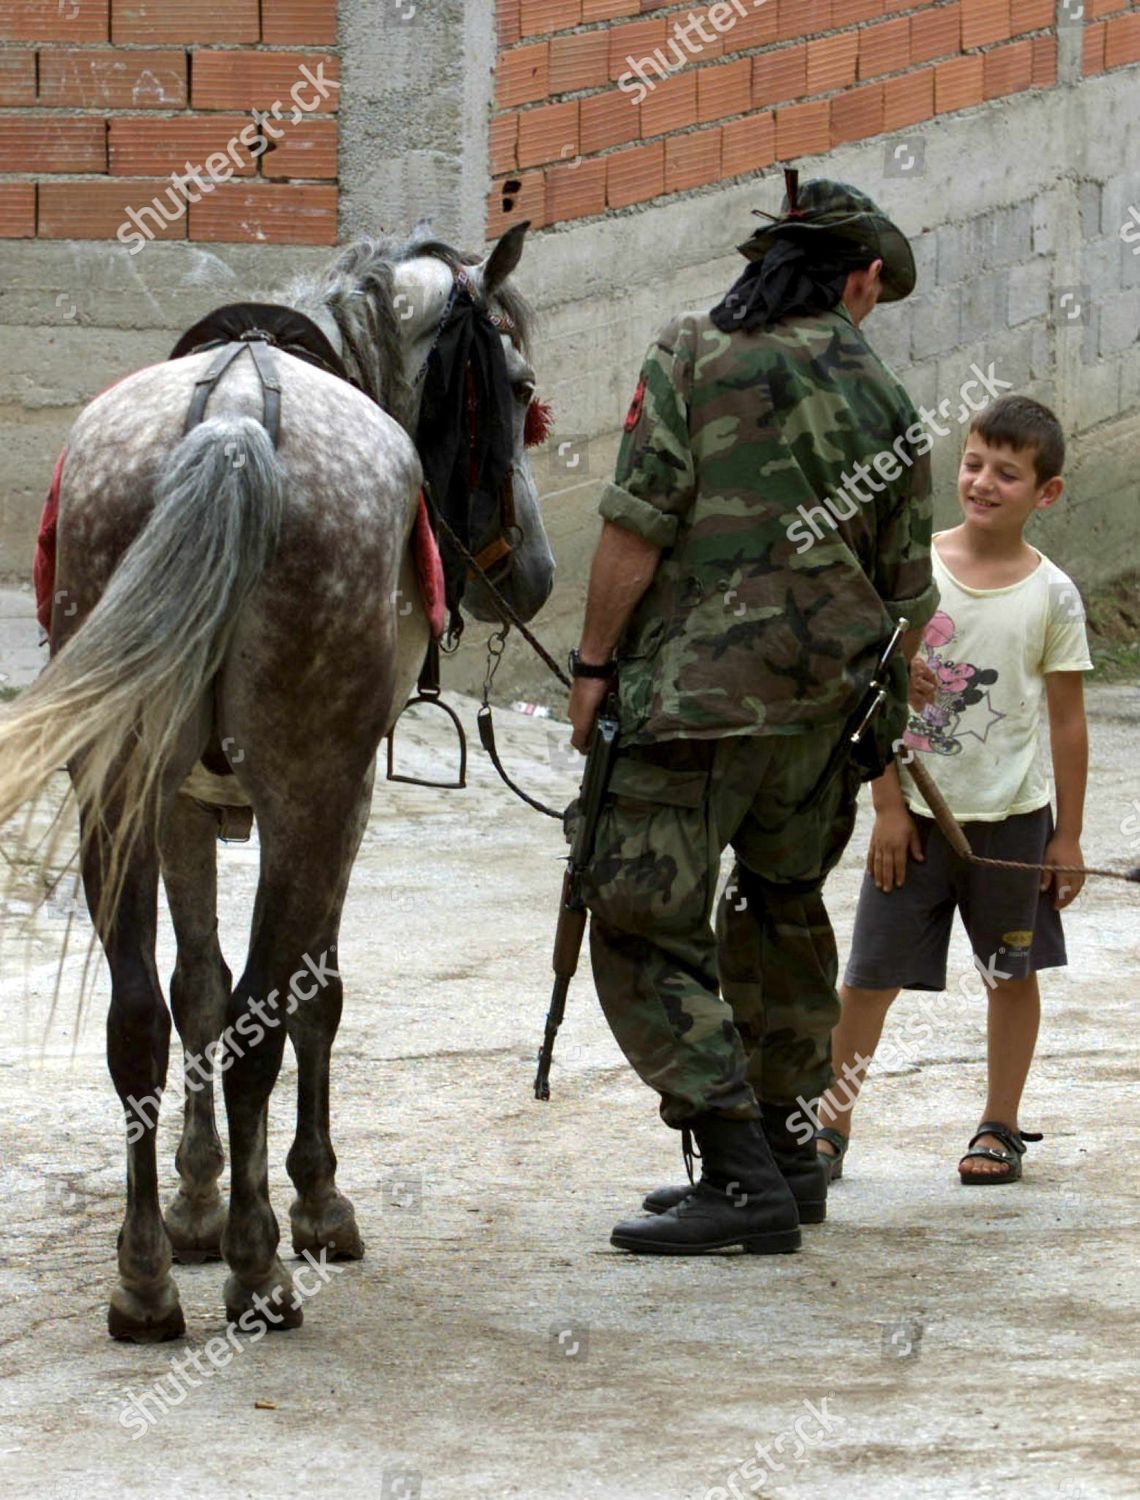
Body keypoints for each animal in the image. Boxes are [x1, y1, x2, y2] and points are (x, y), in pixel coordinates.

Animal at [0, 228, 552, 1344]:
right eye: (518, 388)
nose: (538, 572)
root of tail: (234, 423)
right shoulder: (345, 802)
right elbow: (308, 996)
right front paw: (313, 1200)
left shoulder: (179, 809)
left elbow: (195, 993)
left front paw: (194, 1203)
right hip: (310, 793)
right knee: (261, 1019)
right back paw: (259, 1272)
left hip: (120, 788)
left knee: (137, 1020)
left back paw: (144, 1280)